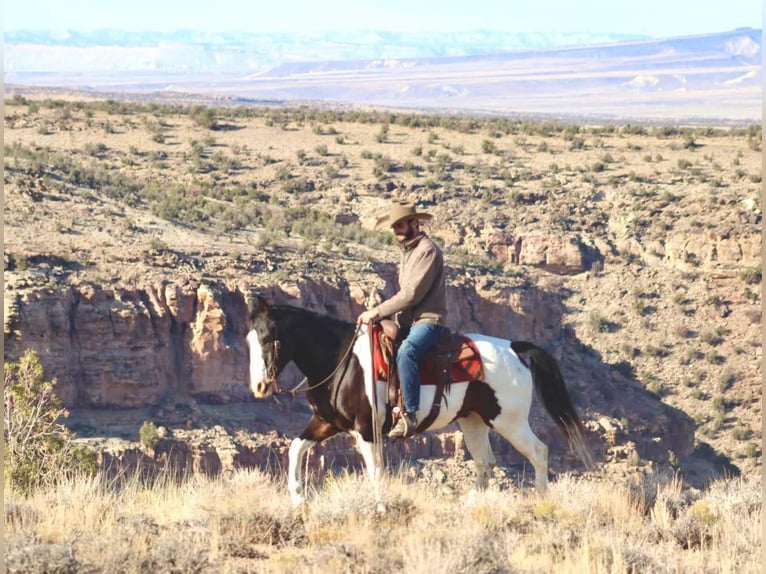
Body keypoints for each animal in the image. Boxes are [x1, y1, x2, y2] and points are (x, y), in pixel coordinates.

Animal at [245, 295, 593, 506]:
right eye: (249, 340)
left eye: (268, 338)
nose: (259, 386)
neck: (341, 360)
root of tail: (513, 347)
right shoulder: (327, 422)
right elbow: (295, 448)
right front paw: (298, 500)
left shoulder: (367, 429)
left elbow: (375, 471)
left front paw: (380, 508)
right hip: (473, 422)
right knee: (485, 462)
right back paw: (473, 504)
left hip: (509, 421)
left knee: (539, 452)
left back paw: (542, 500)